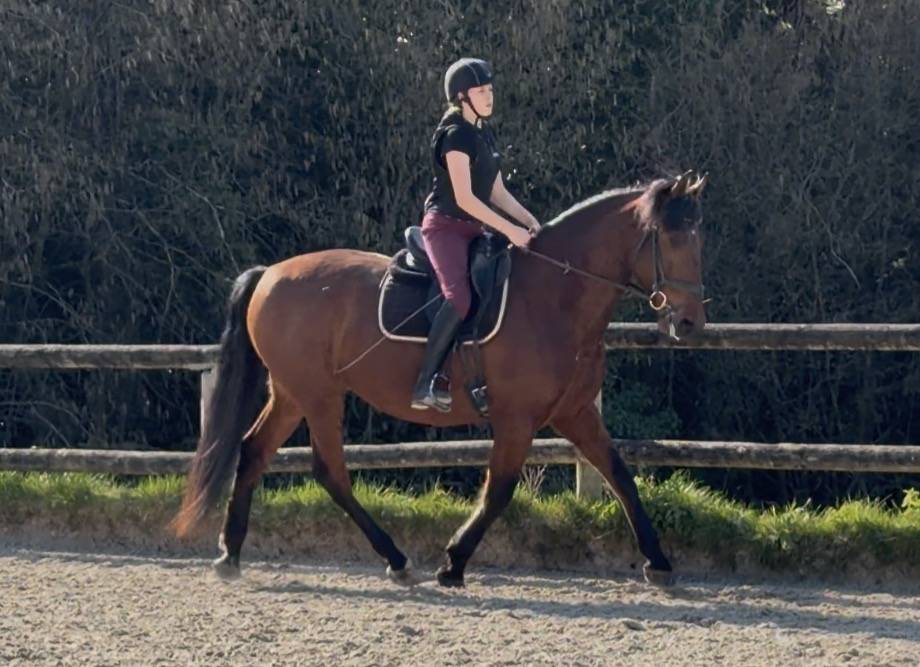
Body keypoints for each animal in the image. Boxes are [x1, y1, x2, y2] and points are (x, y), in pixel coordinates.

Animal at [174, 171, 708, 587]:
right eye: (672, 239)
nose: (689, 324)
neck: (554, 296)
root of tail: (269, 273)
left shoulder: (574, 413)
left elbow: (620, 475)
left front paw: (659, 563)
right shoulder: (517, 418)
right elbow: (499, 489)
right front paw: (453, 563)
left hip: (290, 392)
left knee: (254, 451)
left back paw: (231, 554)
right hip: (318, 394)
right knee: (330, 471)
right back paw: (395, 559)